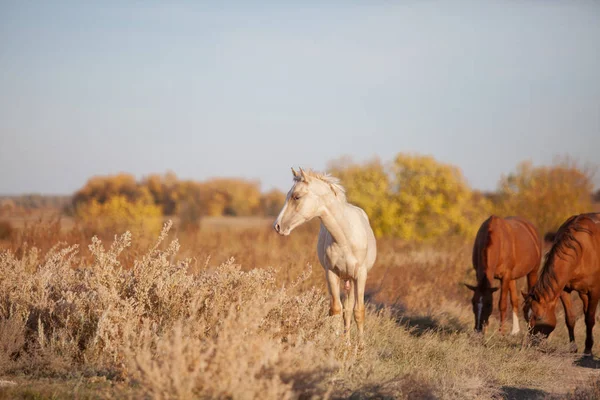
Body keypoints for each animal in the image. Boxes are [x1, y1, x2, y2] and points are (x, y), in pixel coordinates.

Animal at [274, 167, 378, 342]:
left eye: (296, 196)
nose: (278, 226)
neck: (345, 238)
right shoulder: (331, 273)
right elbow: (336, 310)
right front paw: (337, 344)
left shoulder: (360, 275)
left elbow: (359, 311)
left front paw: (361, 347)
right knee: (345, 310)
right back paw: (346, 342)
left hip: (352, 279)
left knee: (350, 310)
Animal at [524, 212, 596, 354]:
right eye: (525, 317)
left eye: (539, 317)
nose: (529, 344)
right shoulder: (564, 290)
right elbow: (570, 319)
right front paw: (573, 348)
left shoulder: (595, 291)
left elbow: (590, 319)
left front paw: (588, 350)